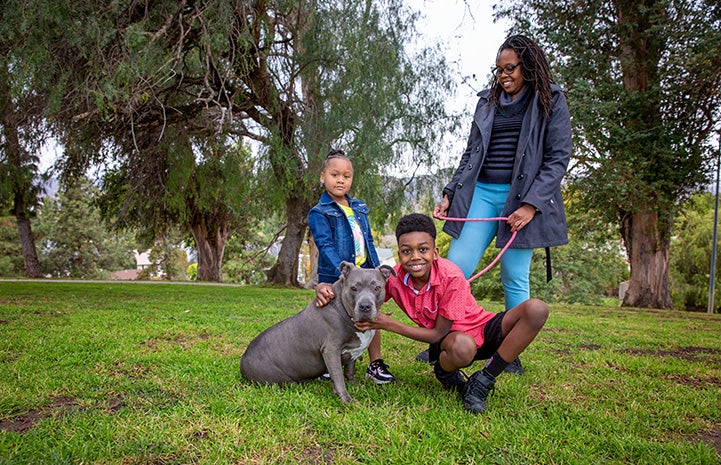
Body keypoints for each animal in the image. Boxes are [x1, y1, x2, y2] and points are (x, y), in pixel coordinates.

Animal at [240, 260, 394, 402]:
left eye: (377, 287)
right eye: (353, 288)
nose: (365, 306)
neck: (344, 310)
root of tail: (243, 360)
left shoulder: (353, 351)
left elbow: (349, 370)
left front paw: (354, 386)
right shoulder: (331, 350)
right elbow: (338, 377)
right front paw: (346, 400)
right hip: (278, 379)